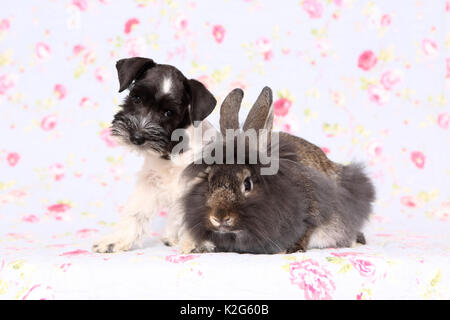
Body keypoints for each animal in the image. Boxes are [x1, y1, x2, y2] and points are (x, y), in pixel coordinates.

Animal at [92, 57, 217, 252]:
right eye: (136, 98)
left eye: (168, 112)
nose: (136, 137)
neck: (171, 151)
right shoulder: (150, 182)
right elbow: (135, 212)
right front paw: (116, 240)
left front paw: (196, 242)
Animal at [178, 86, 374, 254]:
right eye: (209, 180)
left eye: (247, 184)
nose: (219, 217)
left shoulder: (312, 212)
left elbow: (306, 232)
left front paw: (292, 249)